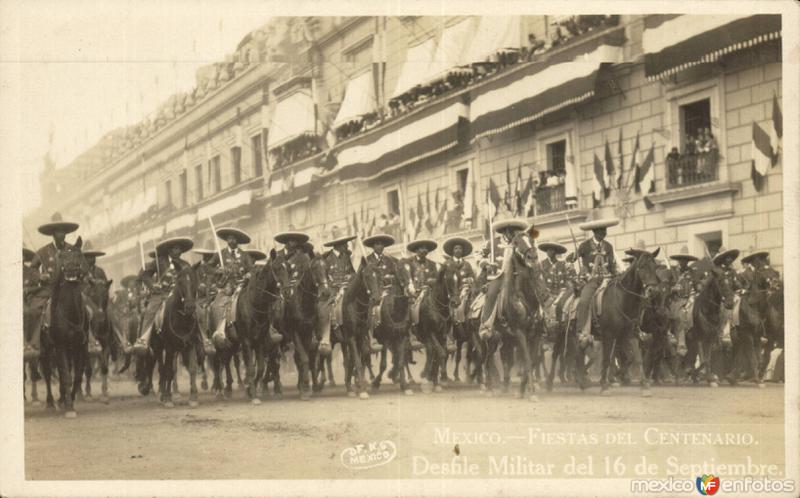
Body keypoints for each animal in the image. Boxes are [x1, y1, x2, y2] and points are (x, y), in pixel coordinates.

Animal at [40, 237, 88, 416]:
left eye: (78, 254)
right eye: (61, 257)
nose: (70, 270)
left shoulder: (80, 347)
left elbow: (77, 376)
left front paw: (70, 400)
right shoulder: (60, 346)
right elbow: (66, 376)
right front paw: (69, 408)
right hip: (47, 350)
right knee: (48, 373)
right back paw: (51, 402)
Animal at [592, 247, 664, 394]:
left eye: (655, 266)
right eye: (641, 266)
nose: (653, 291)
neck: (622, 299)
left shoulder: (629, 333)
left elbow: (635, 357)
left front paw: (644, 384)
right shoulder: (608, 334)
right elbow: (608, 358)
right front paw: (605, 383)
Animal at [684, 258, 736, 388]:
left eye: (731, 283)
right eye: (721, 283)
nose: (730, 303)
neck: (708, 311)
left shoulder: (710, 338)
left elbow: (707, 360)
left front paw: (709, 378)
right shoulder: (700, 338)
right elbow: (704, 360)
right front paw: (703, 376)